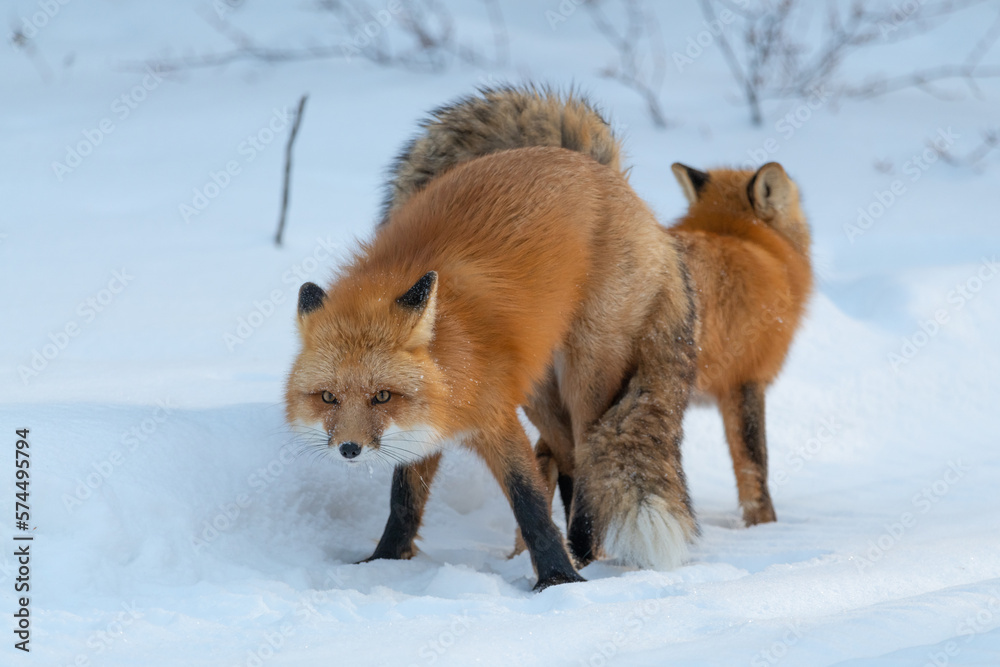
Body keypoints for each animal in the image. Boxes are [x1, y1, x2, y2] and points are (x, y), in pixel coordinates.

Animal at [284, 88, 697, 589]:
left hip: (587, 375)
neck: (453, 353)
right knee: (568, 455)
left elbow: (529, 502)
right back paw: (580, 552)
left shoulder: (496, 416)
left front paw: (557, 581)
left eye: (381, 396)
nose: (349, 448)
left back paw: (582, 552)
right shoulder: (426, 425)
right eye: (328, 397)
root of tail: (600, 169)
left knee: (590, 455)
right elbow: (404, 501)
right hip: (539, 388)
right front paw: (384, 562)